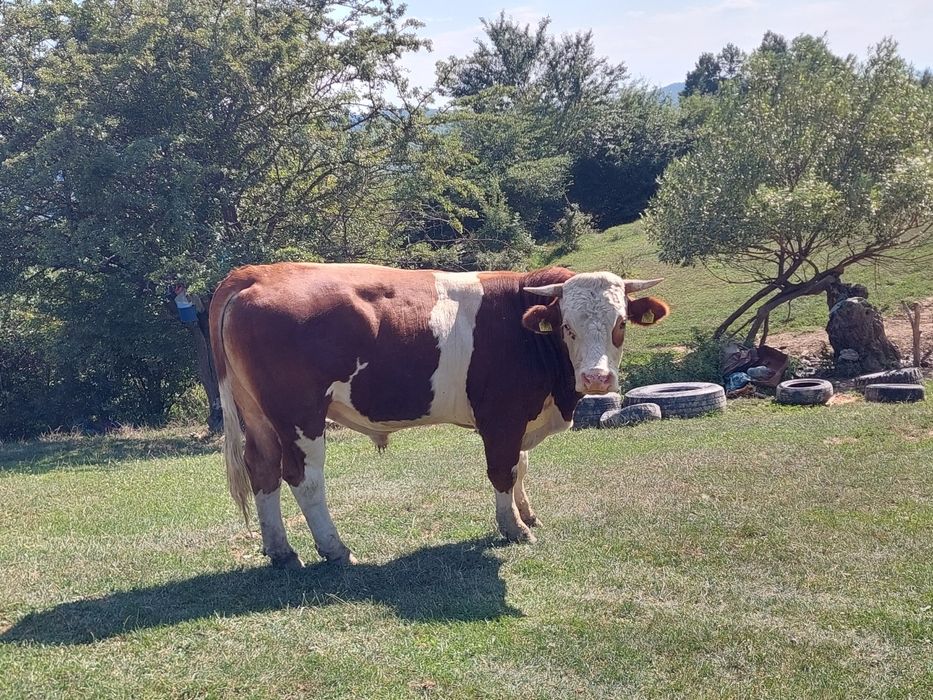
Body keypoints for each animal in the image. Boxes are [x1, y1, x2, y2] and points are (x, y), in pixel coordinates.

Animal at [209, 263, 669, 568]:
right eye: (567, 327)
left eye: (621, 324)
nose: (597, 378)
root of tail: (257, 273)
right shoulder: (501, 416)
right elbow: (503, 470)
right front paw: (513, 528)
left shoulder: (521, 417)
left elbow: (521, 465)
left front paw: (526, 513)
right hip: (300, 415)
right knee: (304, 478)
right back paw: (335, 549)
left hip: (258, 415)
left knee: (262, 469)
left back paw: (282, 551)